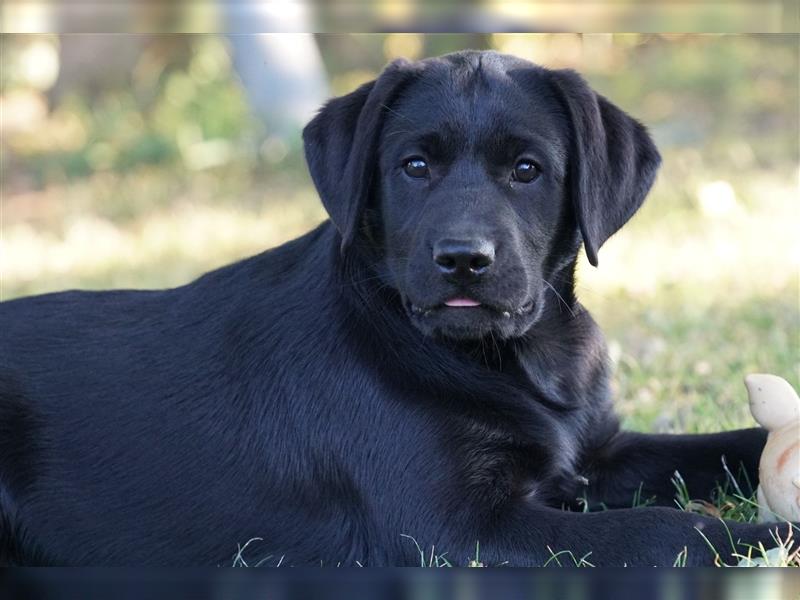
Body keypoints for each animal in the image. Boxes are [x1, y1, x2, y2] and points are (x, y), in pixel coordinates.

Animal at [0, 50, 788, 564]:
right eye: (415, 166)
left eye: (527, 169)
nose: (464, 259)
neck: (514, 360)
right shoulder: (453, 533)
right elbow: (663, 531)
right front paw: (766, 538)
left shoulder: (595, 455)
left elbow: (727, 446)